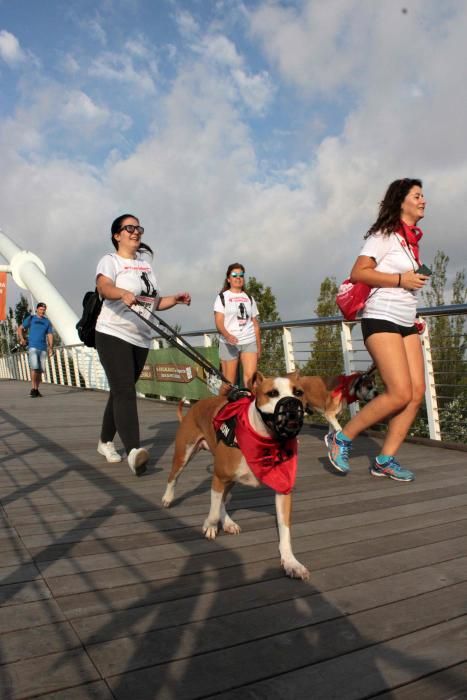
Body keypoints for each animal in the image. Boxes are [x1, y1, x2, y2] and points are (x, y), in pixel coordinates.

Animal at [162, 372, 310, 580]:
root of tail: (197, 405)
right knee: (173, 478)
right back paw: (168, 498)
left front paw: (291, 562)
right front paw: (210, 525)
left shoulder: (283, 490)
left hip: (229, 480)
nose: (291, 403)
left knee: (223, 499)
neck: (264, 441)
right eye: (272, 393)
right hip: (184, 454)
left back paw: (228, 523)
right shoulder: (218, 477)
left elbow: (284, 529)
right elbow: (214, 510)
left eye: (298, 393)